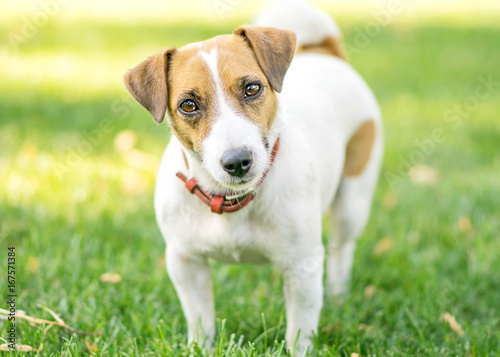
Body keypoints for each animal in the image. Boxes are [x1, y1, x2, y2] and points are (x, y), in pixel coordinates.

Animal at [124, 0, 382, 352]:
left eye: (252, 88)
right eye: (188, 105)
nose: (237, 162)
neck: (232, 200)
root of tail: (326, 52)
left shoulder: (303, 266)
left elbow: (300, 332)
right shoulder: (185, 262)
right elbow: (200, 321)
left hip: (353, 200)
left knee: (343, 248)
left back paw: (339, 295)